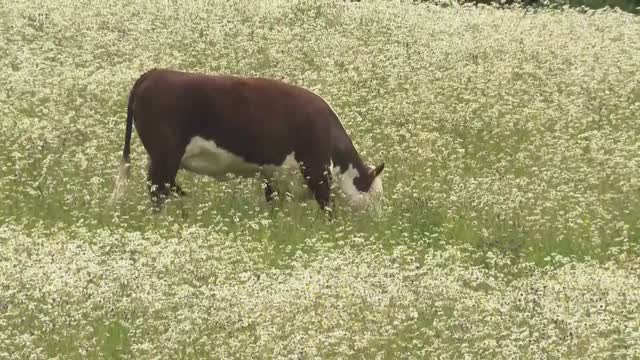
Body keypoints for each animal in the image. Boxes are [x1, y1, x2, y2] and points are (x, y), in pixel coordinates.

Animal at [111, 68, 384, 214]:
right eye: (374, 194)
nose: (378, 222)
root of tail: (154, 73)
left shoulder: (272, 174)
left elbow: (273, 203)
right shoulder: (315, 169)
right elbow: (327, 206)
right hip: (165, 157)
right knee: (158, 190)